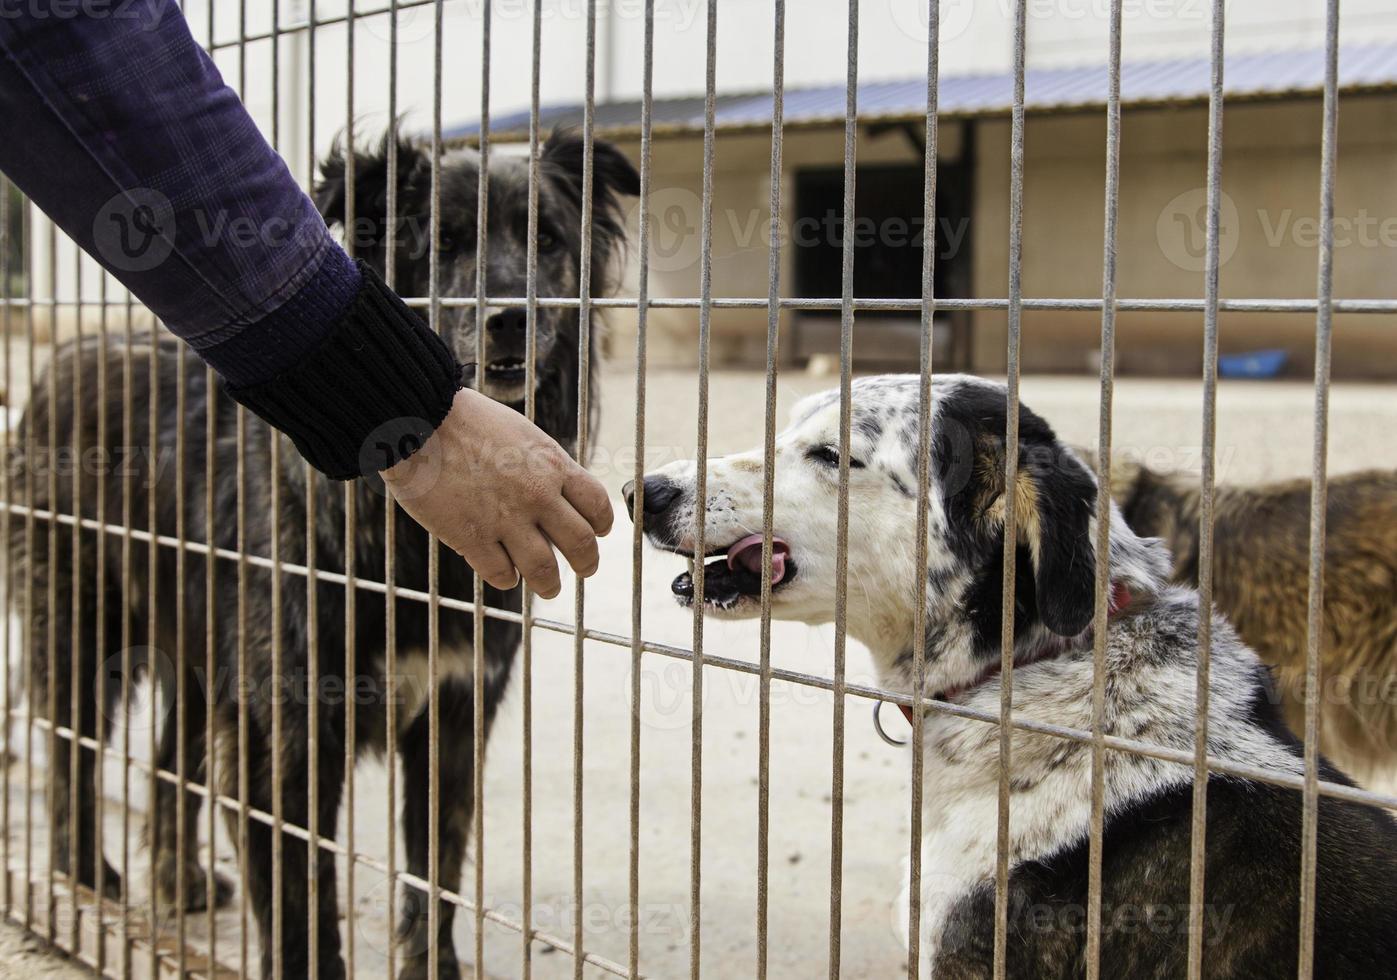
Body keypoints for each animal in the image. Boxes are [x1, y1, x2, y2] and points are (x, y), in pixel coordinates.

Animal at [13, 132, 637, 980]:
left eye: (546, 239)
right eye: (440, 242)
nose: (512, 318)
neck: (404, 537)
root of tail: (61, 359)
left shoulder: (453, 716)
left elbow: (434, 874)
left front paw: (431, 966)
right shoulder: (286, 730)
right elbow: (301, 898)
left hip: (206, 658)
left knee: (170, 762)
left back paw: (176, 881)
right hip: (83, 630)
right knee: (69, 752)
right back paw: (84, 880)